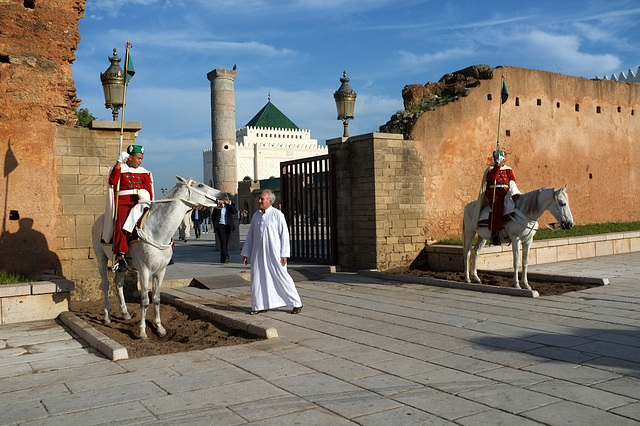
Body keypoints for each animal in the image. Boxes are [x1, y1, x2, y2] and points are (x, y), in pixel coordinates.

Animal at [91, 176, 224, 340]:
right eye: (200, 185)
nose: (224, 195)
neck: (158, 231)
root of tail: (100, 219)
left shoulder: (160, 271)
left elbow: (156, 298)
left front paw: (159, 327)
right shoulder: (144, 271)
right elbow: (144, 300)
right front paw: (142, 331)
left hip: (122, 265)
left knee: (118, 283)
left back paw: (125, 312)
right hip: (101, 258)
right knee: (105, 284)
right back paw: (107, 316)